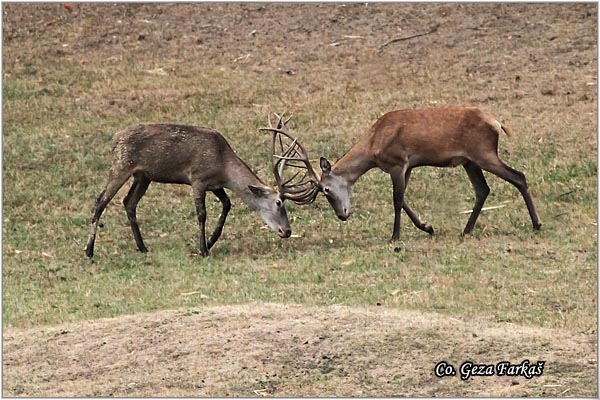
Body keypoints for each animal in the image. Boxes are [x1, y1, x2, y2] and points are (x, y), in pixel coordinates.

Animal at [83, 122, 292, 260]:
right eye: (278, 202)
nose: (287, 231)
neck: (223, 167)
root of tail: (114, 140)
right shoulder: (197, 179)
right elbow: (202, 214)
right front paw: (203, 250)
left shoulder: (215, 185)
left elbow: (227, 204)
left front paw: (211, 241)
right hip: (121, 165)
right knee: (100, 201)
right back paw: (89, 251)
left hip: (143, 176)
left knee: (128, 202)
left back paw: (142, 247)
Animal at [260, 107, 540, 244]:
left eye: (326, 190)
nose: (342, 215)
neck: (374, 145)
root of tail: (497, 123)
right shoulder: (408, 167)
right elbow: (404, 199)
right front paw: (428, 227)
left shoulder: (397, 162)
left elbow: (396, 200)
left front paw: (394, 236)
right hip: (470, 161)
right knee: (483, 189)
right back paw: (465, 231)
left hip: (483, 153)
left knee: (519, 176)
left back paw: (536, 225)